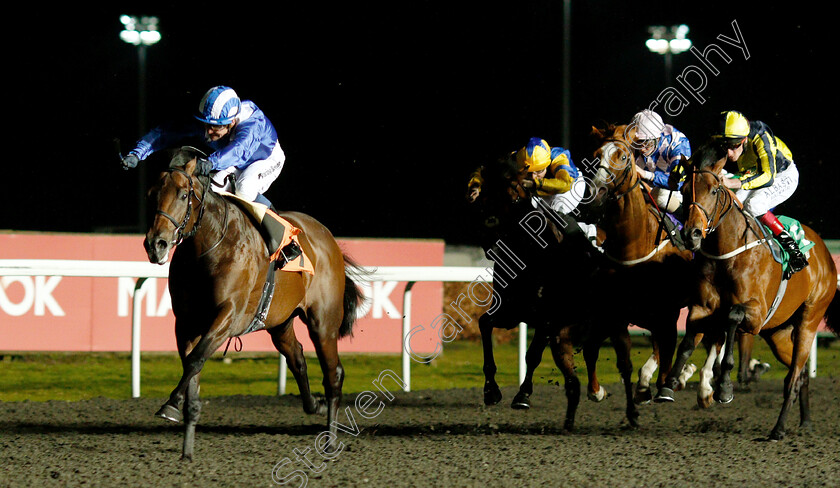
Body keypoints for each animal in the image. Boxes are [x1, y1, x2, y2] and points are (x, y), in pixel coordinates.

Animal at [146, 147, 362, 460]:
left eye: (183, 195)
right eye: (152, 194)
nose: (156, 244)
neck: (210, 245)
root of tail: (328, 238)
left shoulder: (228, 316)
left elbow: (196, 359)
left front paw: (170, 403)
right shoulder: (186, 323)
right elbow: (191, 367)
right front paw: (186, 447)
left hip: (323, 322)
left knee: (333, 374)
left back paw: (331, 441)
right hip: (280, 322)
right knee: (297, 358)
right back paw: (315, 405)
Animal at [660, 140, 836, 438]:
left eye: (715, 190)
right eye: (683, 191)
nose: (692, 234)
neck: (727, 251)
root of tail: (824, 252)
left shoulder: (755, 313)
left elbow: (732, 318)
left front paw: (723, 388)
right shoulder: (702, 308)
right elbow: (687, 341)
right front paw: (668, 385)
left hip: (808, 321)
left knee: (793, 376)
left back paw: (778, 429)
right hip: (778, 333)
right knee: (799, 373)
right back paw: (805, 422)